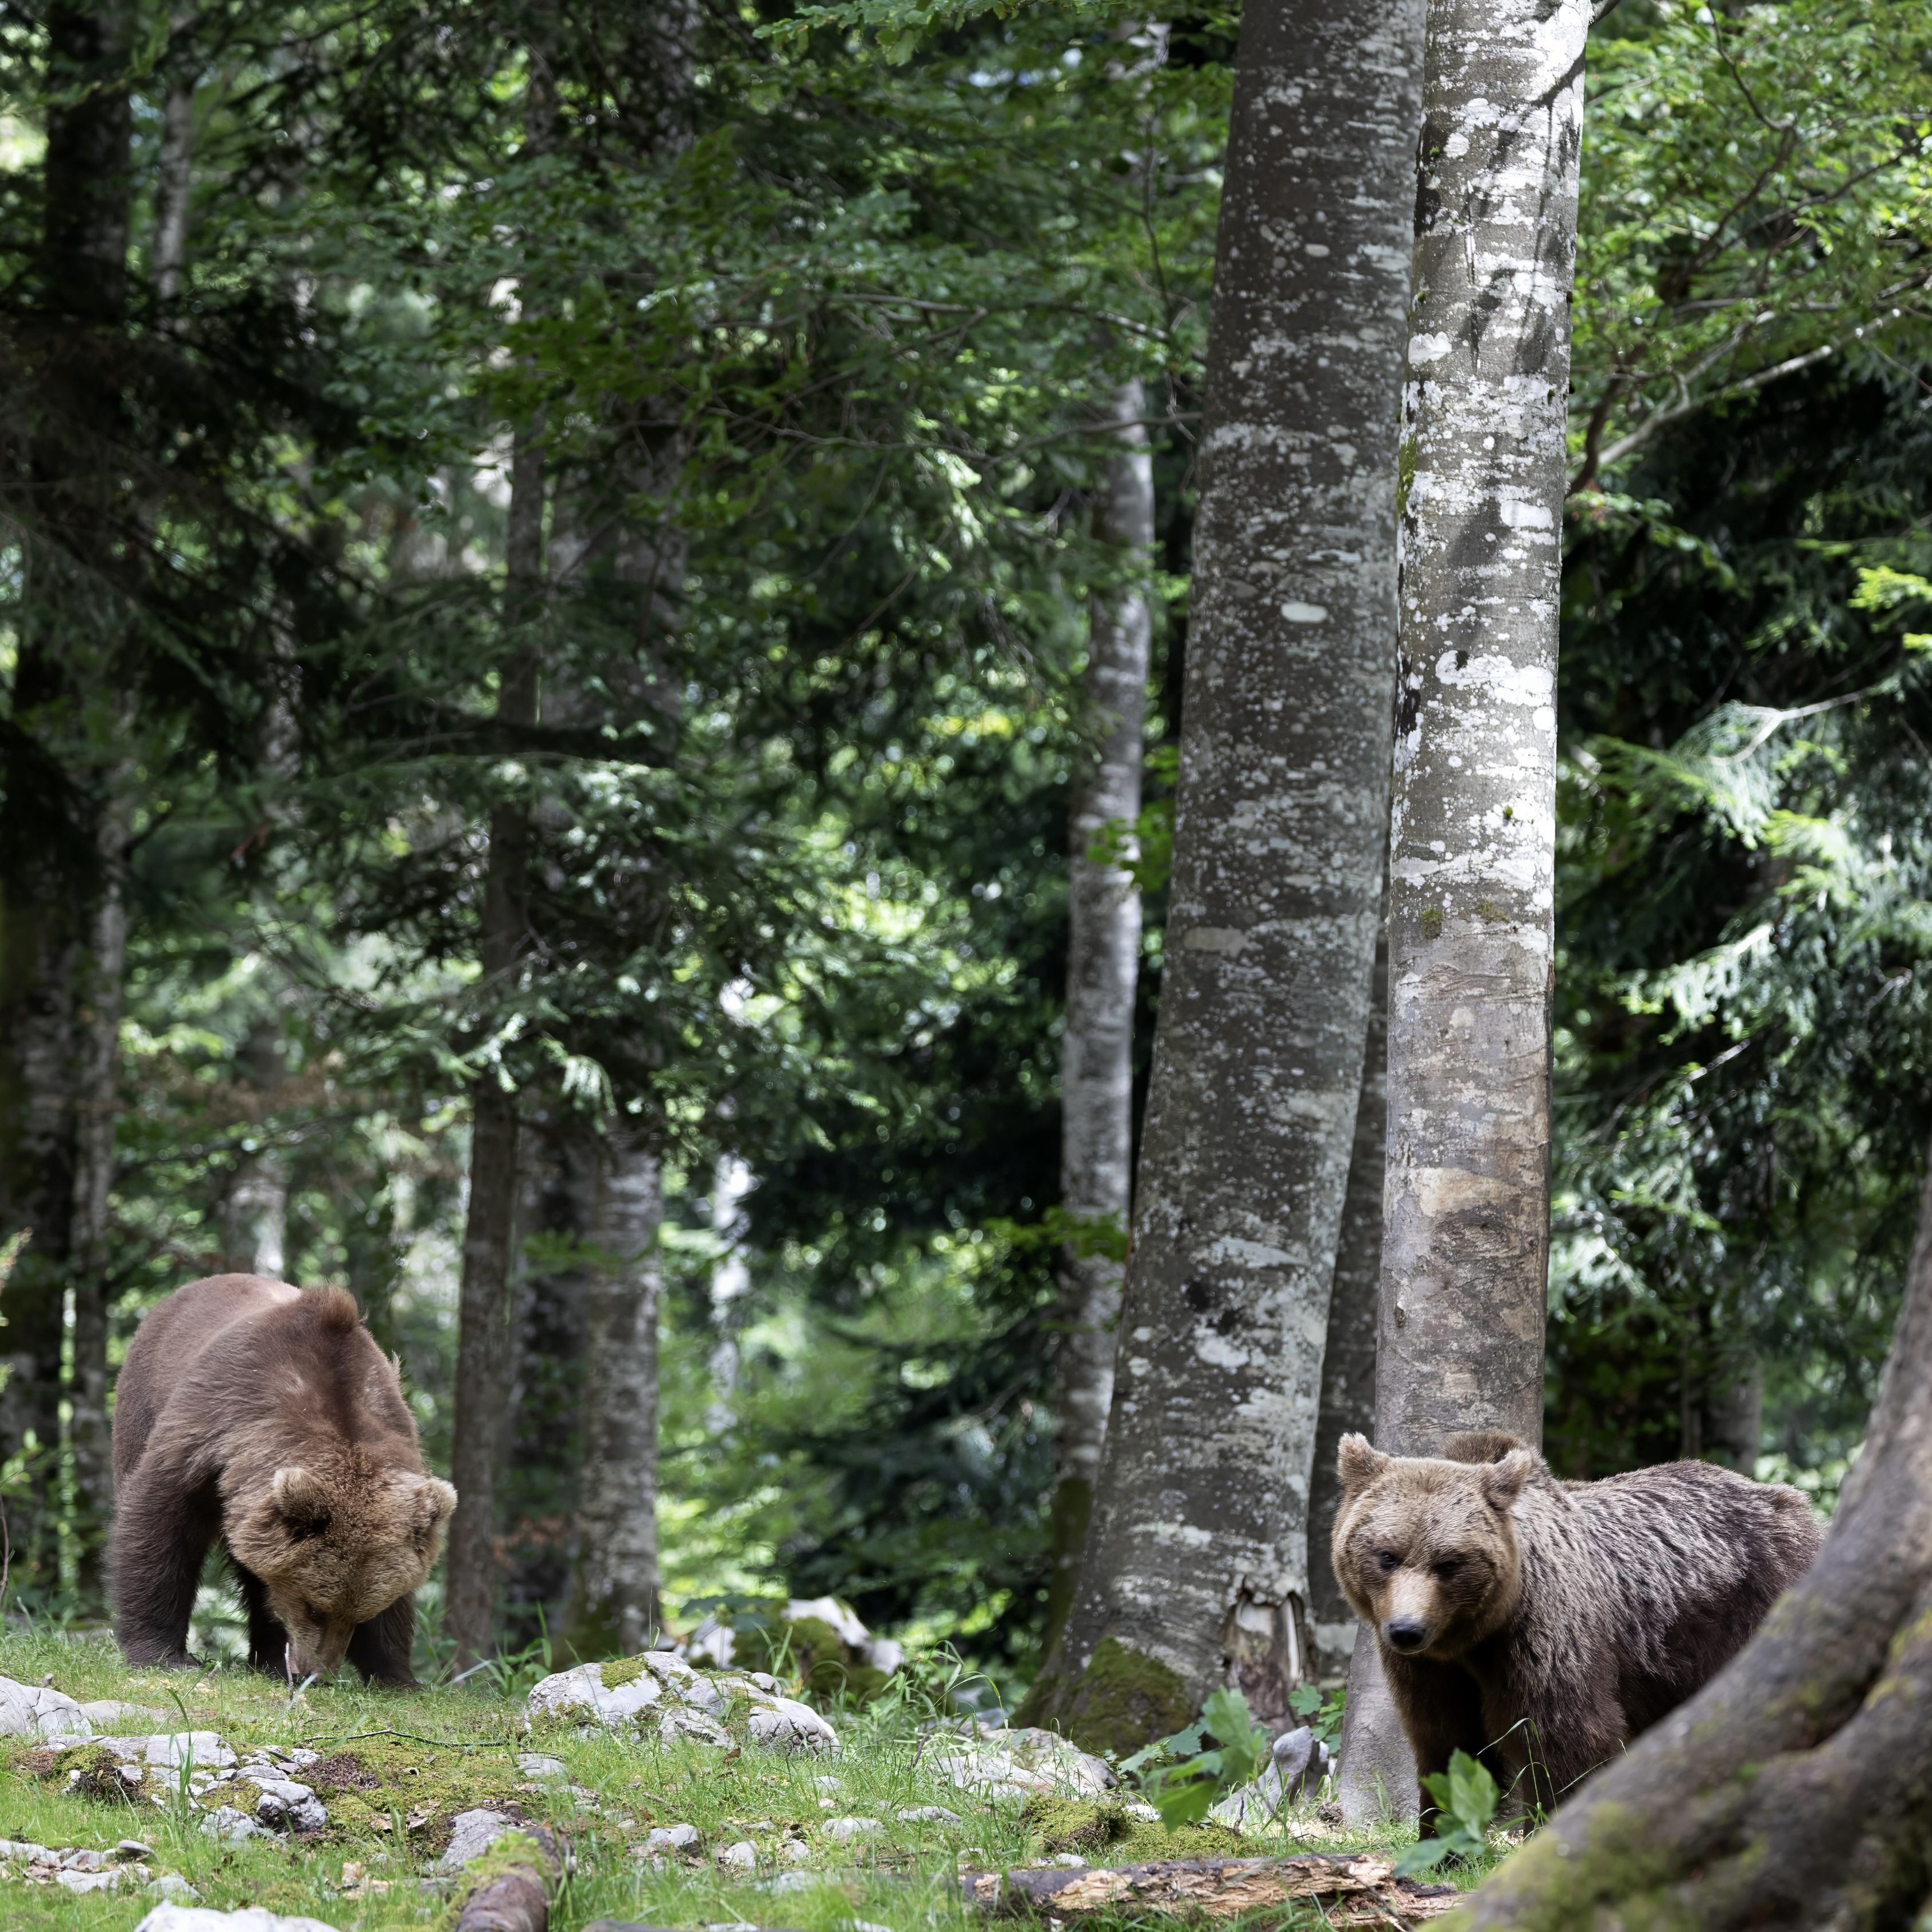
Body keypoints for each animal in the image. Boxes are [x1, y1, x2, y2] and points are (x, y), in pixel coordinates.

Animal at [111, 1274, 457, 1686]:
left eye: (359, 1616)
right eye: (314, 1606)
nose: (317, 1675)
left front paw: (397, 1676)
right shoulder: (210, 1431)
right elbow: (160, 1525)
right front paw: (164, 1655)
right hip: (143, 1400)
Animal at [1331, 1427, 1821, 1821]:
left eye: (1449, 1562)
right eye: (1387, 1556)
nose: (1407, 1630)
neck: (1473, 1637)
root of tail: (1792, 1499)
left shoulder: (1542, 1637)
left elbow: (1566, 1739)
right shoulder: (1431, 1670)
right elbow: (1447, 1743)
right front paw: (1441, 1841)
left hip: (1750, 1607)